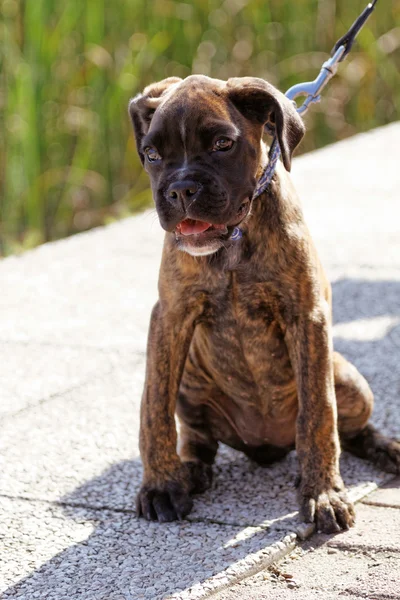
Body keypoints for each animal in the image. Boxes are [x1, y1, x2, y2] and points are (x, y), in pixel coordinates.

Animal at [130, 76, 398, 536]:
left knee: (350, 428)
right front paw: (162, 484)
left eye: (222, 143)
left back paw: (385, 449)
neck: (234, 242)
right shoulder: (171, 317)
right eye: (152, 154)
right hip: (191, 384)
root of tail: (266, 447)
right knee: (199, 439)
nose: (181, 190)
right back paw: (190, 470)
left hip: (348, 378)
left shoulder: (307, 317)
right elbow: (154, 406)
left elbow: (318, 412)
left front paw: (322, 492)